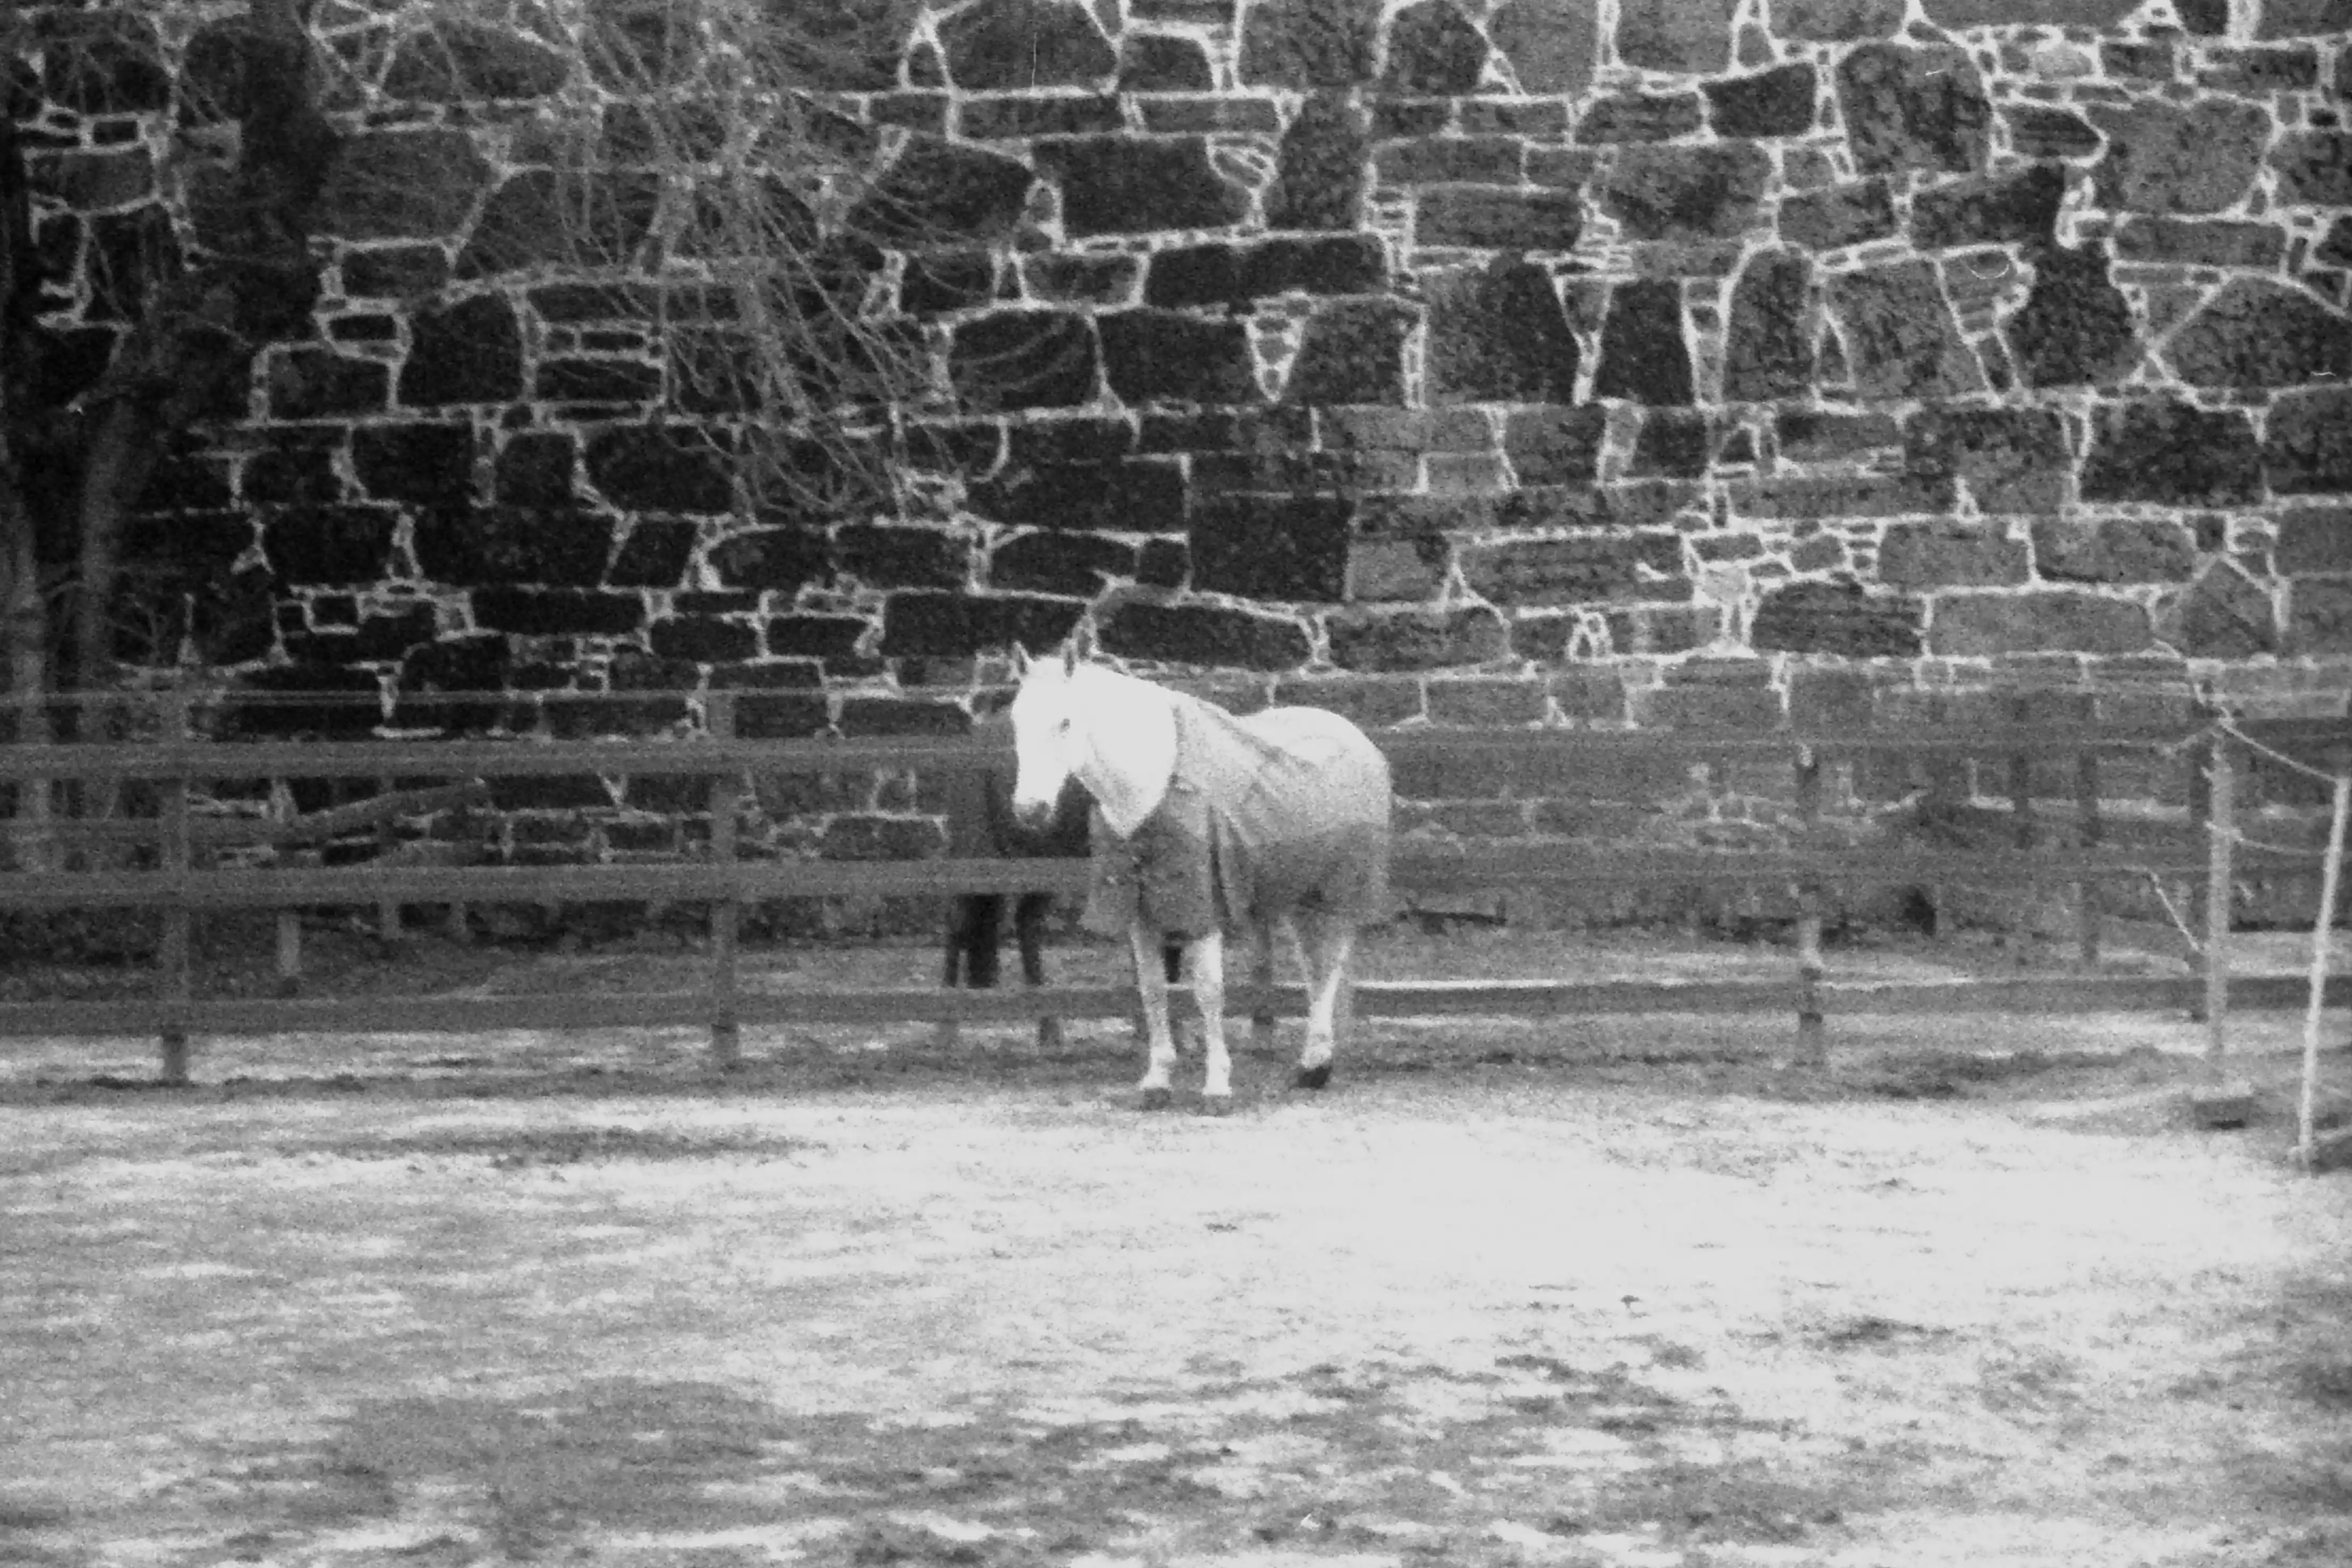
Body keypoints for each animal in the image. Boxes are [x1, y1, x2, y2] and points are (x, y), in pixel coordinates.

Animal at [1002, 644, 1383, 1109]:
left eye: (1066, 721)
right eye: (1016, 720)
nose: (1030, 810)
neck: (1150, 785)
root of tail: (1355, 737)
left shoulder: (1205, 911)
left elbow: (1208, 991)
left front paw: (1217, 1086)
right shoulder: (1140, 914)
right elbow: (1152, 989)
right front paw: (1157, 1081)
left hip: (1339, 892)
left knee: (1330, 968)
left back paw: (1315, 1065)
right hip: (1299, 896)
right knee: (1315, 968)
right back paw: (1316, 1064)